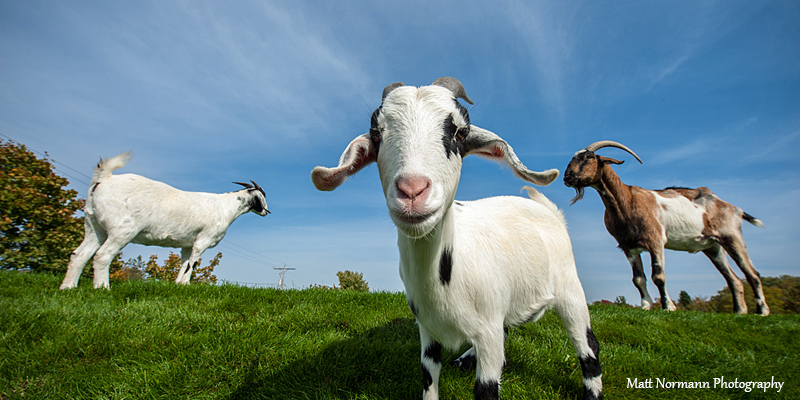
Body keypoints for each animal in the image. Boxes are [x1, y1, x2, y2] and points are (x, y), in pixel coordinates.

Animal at [59, 152, 270, 289]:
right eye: (261, 197)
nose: (267, 211)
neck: (226, 206)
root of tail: (104, 178)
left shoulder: (187, 243)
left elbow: (184, 263)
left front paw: (178, 286)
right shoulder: (203, 240)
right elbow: (192, 264)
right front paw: (186, 285)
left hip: (93, 225)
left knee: (79, 255)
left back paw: (68, 287)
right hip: (122, 229)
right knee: (102, 255)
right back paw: (102, 287)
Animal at [312, 77, 602, 400]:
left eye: (460, 132)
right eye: (376, 134)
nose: (412, 191)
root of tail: (549, 210)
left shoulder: (488, 332)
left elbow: (486, 388)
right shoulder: (428, 329)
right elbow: (428, 376)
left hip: (569, 288)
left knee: (587, 344)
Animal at [563, 140, 768, 315]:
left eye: (589, 157)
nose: (567, 177)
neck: (626, 200)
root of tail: (734, 208)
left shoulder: (655, 240)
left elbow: (658, 276)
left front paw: (668, 307)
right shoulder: (628, 246)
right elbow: (638, 279)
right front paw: (646, 306)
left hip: (732, 236)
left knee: (752, 273)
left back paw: (762, 311)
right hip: (713, 246)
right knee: (734, 279)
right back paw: (739, 311)